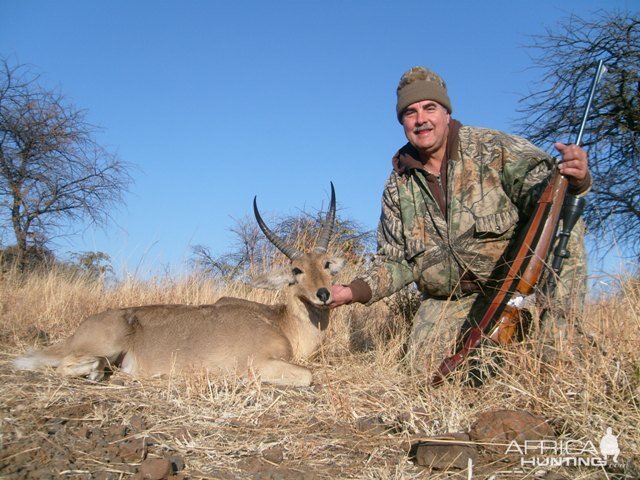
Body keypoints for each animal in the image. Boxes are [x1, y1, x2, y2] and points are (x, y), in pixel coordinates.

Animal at [12, 184, 342, 386]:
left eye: (327, 264)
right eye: (296, 270)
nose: (323, 294)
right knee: (65, 366)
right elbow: (308, 376)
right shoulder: (261, 362)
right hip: (101, 348)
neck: (280, 323)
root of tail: (78, 332)